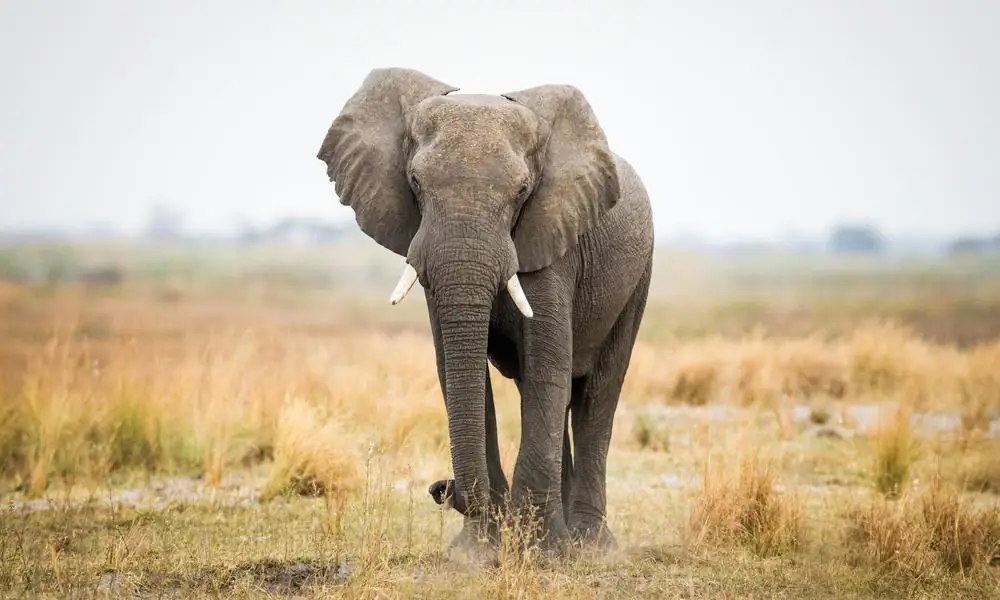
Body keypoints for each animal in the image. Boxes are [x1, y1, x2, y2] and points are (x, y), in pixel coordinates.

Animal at [314, 68, 656, 556]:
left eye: (522, 191)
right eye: (415, 182)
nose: (442, 487)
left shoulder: (552, 239)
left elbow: (547, 367)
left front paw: (540, 553)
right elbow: (460, 370)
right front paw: (478, 553)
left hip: (639, 274)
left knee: (596, 394)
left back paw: (590, 547)